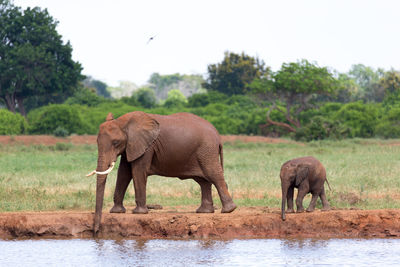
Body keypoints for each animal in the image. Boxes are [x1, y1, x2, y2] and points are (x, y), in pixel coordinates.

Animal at [87, 111, 236, 234]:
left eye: (116, 142)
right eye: (97, 142)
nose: (96, 232)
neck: (123, 122)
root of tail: (218, 136)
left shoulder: (146, 147)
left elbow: (137, 171)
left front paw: (139, 213)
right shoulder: (131, 146)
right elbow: (124, 173)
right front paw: (117, 212)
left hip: (207, 150)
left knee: (214, 175)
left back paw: (228, 210)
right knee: (203, 181)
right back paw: (205, 211)